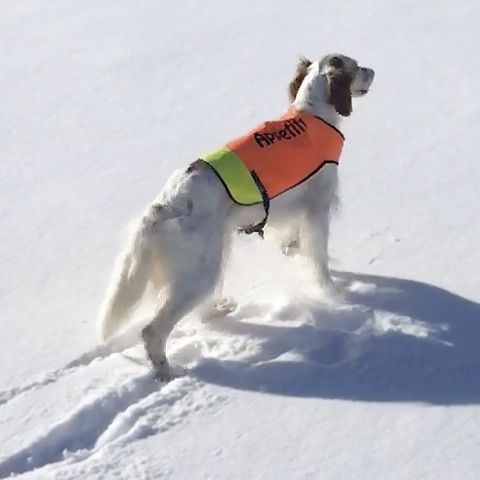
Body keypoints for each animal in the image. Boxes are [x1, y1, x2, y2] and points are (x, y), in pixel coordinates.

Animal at [96, 54, 376, 378]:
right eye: (356, 67)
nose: (373, 71)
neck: (312, 112)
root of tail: (161, 209)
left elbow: (293, 240)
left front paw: (292, 250)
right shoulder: (318, 207)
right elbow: (319, 260)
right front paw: (333, 295)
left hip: (212, 257)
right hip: (200, 270)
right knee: (153, 330)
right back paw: (168, 372)